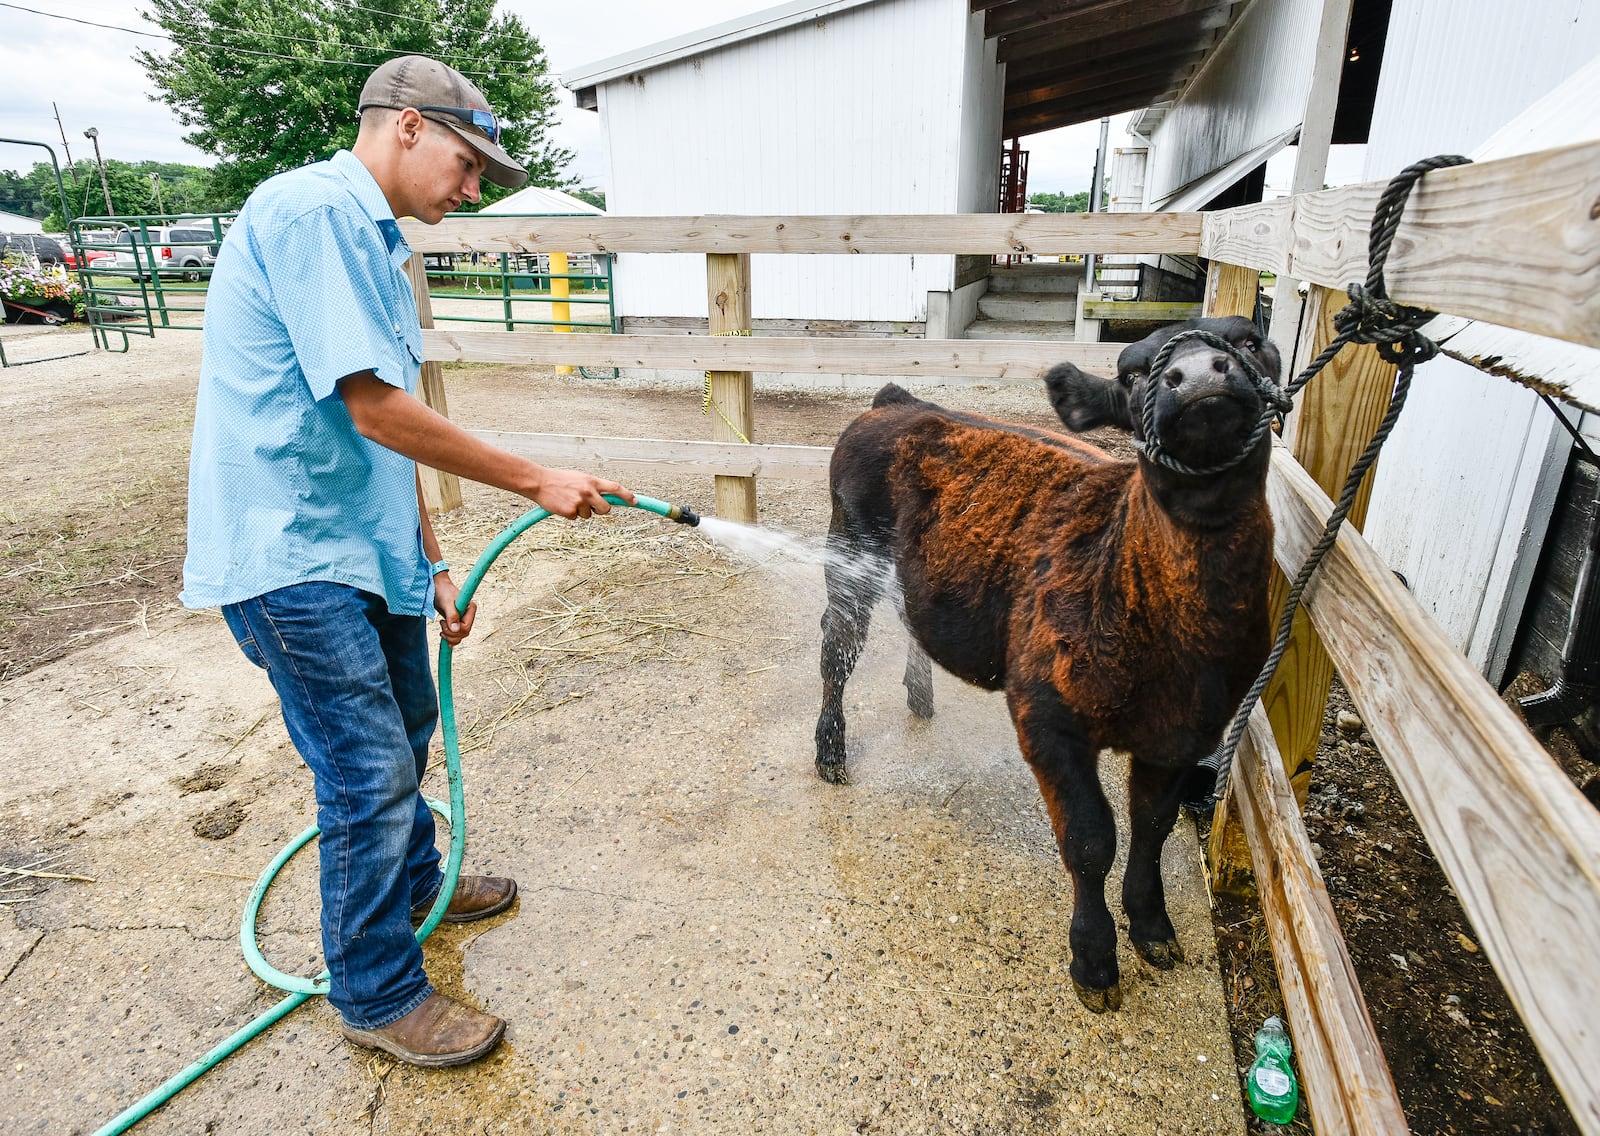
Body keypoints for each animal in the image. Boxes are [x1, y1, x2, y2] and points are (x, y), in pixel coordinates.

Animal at [819, 318, 1280, 1017]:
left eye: (1252, 340)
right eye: (1133, 373)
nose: (1200, 374)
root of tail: (900, 402)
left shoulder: (1187, 732)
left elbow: (1153, 826)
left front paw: (1154, 928)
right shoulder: (1046, 715)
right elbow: (1091, 841)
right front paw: (1094, 961)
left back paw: (920, 696)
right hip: (849, 551)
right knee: (836, 648)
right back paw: (830, 751)